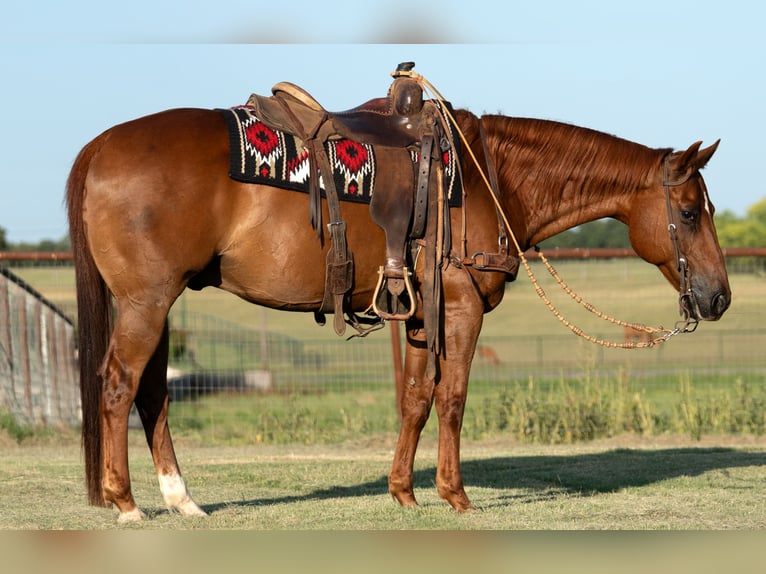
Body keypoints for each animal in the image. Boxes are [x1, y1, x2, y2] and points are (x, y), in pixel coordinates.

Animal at [66, 98, 730, 521]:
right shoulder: (460, 310)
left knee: (153, 393)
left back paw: (182, 500)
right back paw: (127, 504)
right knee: (120, 385)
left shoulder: (416, 316)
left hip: (158, 304)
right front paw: (455, 494)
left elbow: (415, 399)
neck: (487, 176)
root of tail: (99, 145)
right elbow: (453, 397)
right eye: (689, 212)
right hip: (147, 304)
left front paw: (403, 492)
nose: (718, 296)